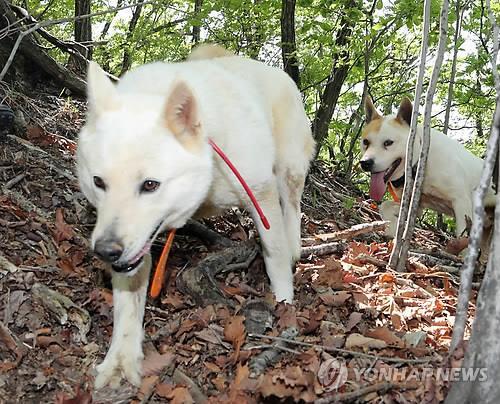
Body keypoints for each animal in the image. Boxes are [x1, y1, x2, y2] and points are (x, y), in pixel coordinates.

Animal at [76, 45, 314, 388]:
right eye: (98, 182)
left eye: (150, 185)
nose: (106, 251)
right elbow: (128, 301)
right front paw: (121, 358)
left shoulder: (261, 194)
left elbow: (275, 254)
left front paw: (285, 304)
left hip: (289, 170)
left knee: (293, 207)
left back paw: (295, 245)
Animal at [360, 95, 496, 237]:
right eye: (366, 142)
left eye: (388, 142)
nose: (365, 163)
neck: (421, 163)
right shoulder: (414, 207)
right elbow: (384, 206)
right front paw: (392, 228)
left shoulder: (461, 202)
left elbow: (462, 235)